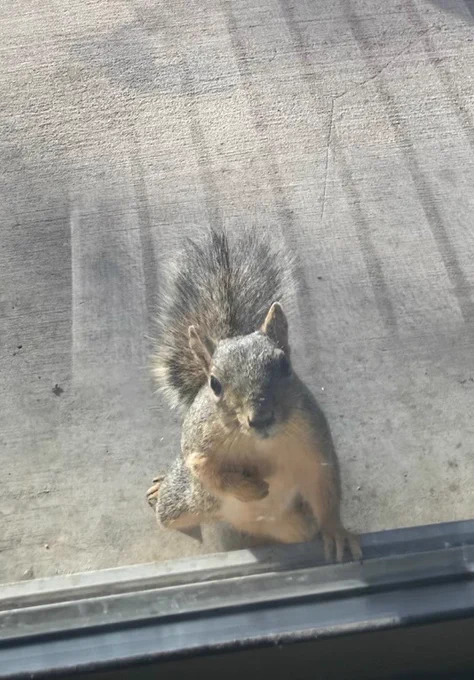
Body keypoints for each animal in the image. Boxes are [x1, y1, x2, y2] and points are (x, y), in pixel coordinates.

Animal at [146, 230, 361, 561]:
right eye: (215, 384)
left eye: (285, 365)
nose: (260, 418)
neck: (257, 443)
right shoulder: (199, 443)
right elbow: (205, 468)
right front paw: (251, 489)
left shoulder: (314, 444)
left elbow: (324, 487)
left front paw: (337, 532)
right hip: (185, 501)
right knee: (171, 510)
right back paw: (159, 490)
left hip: (295, 525)